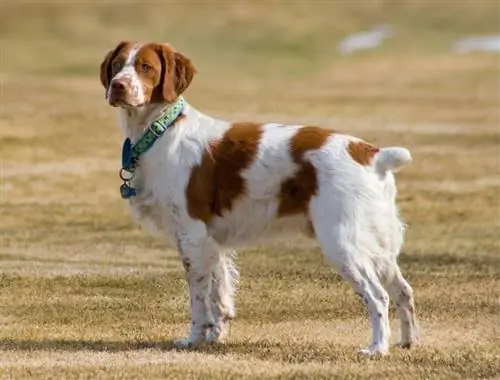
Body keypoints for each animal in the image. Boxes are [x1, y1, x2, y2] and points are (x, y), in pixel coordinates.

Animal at [97, 41, 418, 356]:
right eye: (118, 65)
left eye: (145, 67)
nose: (118, 86)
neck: (162, 131)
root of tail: (372, 154)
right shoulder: (213, 242)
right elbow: (219, 294)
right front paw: (215, 337)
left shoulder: (192, 236)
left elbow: (200, 300)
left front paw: (194, 340)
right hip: (377, 245)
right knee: (403, 290)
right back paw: (408, 342)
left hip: (343, 242)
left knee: (378, 296)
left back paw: (377, 348)